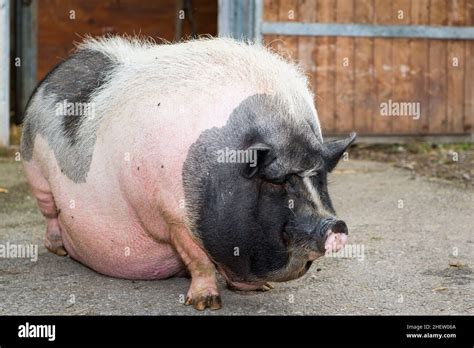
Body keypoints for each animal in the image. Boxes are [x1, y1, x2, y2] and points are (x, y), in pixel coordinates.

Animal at [21, 36, 356, 312]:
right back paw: (58, 249)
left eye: (320, 176)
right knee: (50, 213)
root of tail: (54, 73)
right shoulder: (172, 213)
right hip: (36, 172)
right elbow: (199, 259)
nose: (335, 225)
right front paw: (207, 304)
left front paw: (262, 287)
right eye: (278, 182)